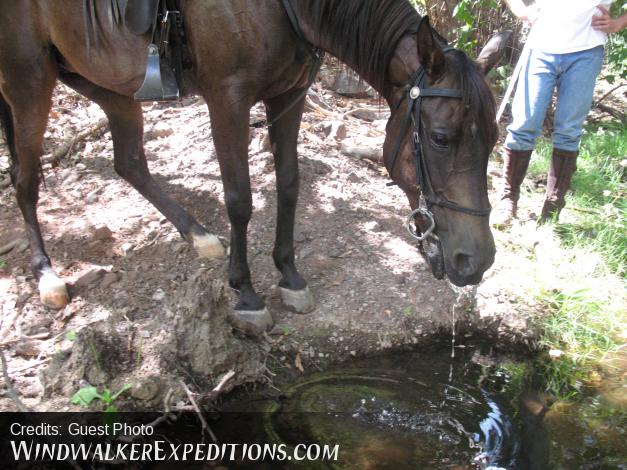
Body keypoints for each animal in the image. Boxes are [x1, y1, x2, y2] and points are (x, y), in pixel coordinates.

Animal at [0, 0, 508, 330]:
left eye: (494, 140)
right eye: (440, 139)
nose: (477, 261)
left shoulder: (289, 94)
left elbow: (289, 184)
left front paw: (289, 274)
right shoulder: (228, 99)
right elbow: (240, 198)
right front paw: (244, 293)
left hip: (103, 81)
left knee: (128, 163)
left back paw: (198, 235)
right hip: (29, 78)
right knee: (25, 179)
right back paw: (47, 275)